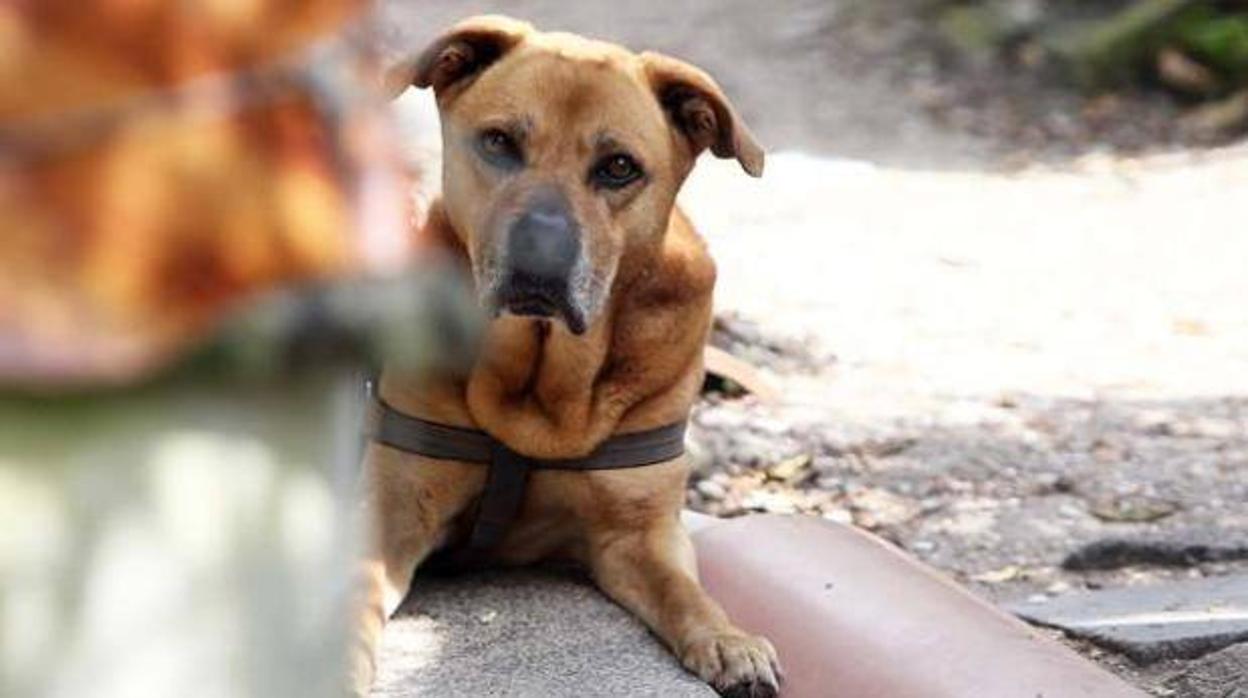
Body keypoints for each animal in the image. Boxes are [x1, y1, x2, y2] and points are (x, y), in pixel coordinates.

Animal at [354, 16, 778, 698]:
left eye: (619, 167)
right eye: (499, 142)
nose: (540, 251)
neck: (538, 385)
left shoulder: (639, 532)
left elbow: (687, 594)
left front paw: (729, 639)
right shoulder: (393, 511)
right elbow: (358, 591)